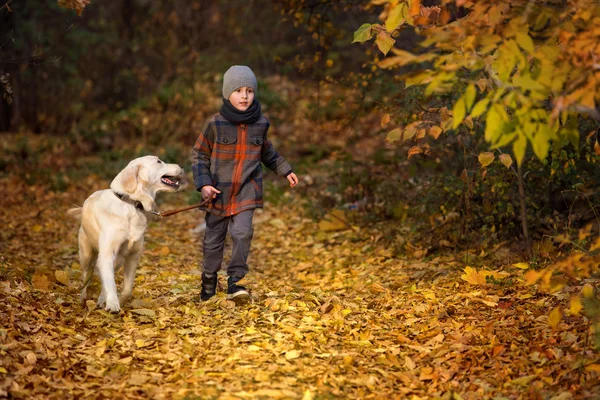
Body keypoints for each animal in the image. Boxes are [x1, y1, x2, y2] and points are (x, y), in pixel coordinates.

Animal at [67, 156, 183, 312]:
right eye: (158, 161)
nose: (181, 166)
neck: (131, 204)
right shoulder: (107, 253)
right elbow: (110, 283)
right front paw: (113, 304)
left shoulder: (133, 256)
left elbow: (127, 289)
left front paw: (119, 301)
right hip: (86, 254)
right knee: (87, 275)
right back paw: (84, 297)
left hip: (118, 260)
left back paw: (101, 300)